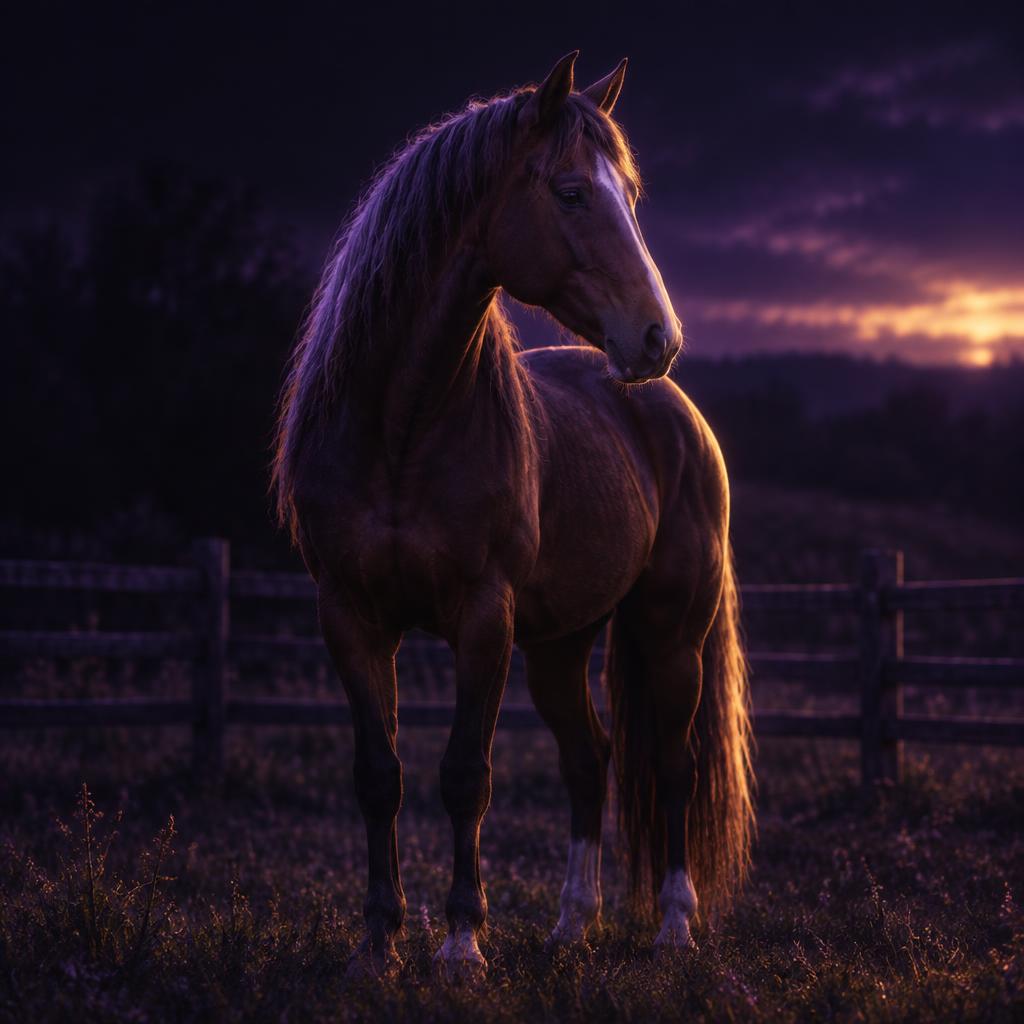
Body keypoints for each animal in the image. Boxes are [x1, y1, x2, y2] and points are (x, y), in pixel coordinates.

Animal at [272, 52, 754, 979]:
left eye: (627, 194)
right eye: (570, 192)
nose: (659, 336)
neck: (401, 429)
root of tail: (675, 410)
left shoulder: (482, 618)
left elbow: (467, 775)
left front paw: (462, 943)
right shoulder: (349, 617)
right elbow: (378, 776)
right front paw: (377, 942)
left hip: (671, 629)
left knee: (672, 764)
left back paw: (673, 928)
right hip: (560, 645)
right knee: (589, 760)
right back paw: (572, 925)